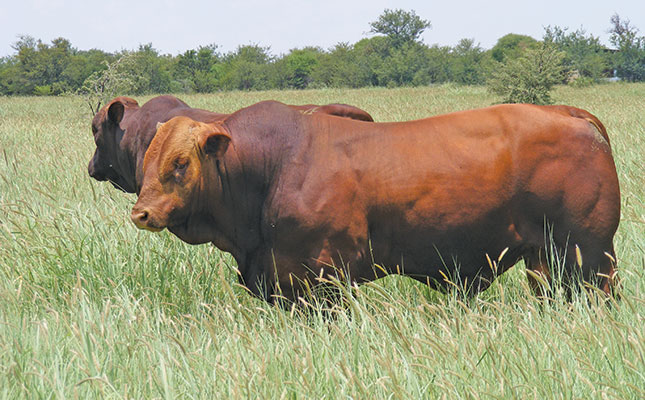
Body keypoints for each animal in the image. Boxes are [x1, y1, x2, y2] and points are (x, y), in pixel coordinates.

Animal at [130, 101, 620, 304]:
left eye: (180, 163)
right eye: (145, 161)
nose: (141, 213)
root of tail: (567, 112)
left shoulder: (322, 278)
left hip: (590, 254)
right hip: (547, 262)